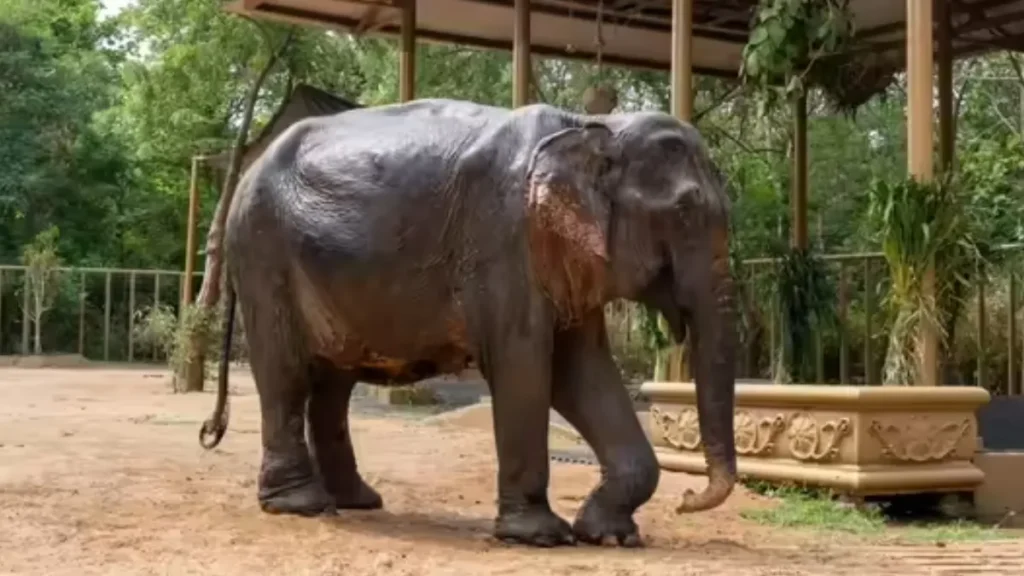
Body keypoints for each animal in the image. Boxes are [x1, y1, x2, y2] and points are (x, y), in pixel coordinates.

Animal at [198, 98, 738, 548]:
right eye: (684, 212)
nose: (688, 502)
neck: (594, 124)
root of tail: (243, 176)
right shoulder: (504, 241)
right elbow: (525, 366)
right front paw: (540, 537)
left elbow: (582, 373)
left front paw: (609, 535)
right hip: (263, 253)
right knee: (286, 373)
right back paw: (302, 506)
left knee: (333, 384)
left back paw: (357, 501)